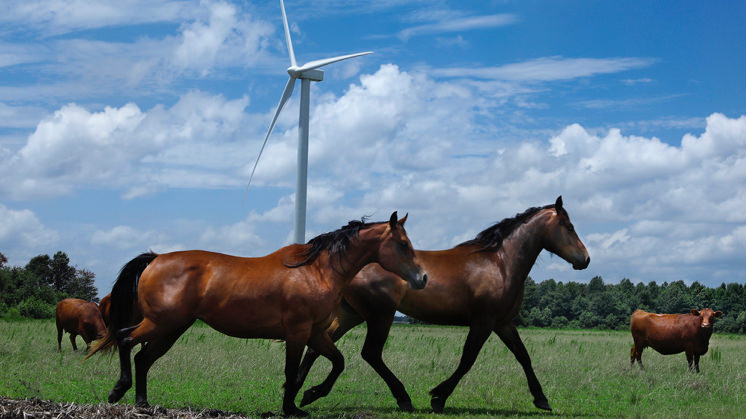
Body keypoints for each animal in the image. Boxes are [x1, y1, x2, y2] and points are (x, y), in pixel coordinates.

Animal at [87, 213, 424, 416]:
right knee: (125, 340)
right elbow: (292, 370)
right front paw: (292, 407)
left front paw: (310, 395)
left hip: (172, 328)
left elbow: (337, 362)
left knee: (143, 358)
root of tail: (155, 259)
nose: (421, 278)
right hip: (161, 323)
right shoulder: (297, 331)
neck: (315, 270)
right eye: (403, 244)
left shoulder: (316, 331)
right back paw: (119, 390)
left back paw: (143, 403)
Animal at [294, 198, 588, 414]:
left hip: (350, 314)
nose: (585, 259)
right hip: (380, 315)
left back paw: (301, 392)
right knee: (370, 353)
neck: (500, 264)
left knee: (318, 347)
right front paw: (438, 397)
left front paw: (541, 399)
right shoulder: (483, 321)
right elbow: (467, 360)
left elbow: (523, 356)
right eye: (569, 226)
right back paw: (402, 398)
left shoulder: (503, 323)